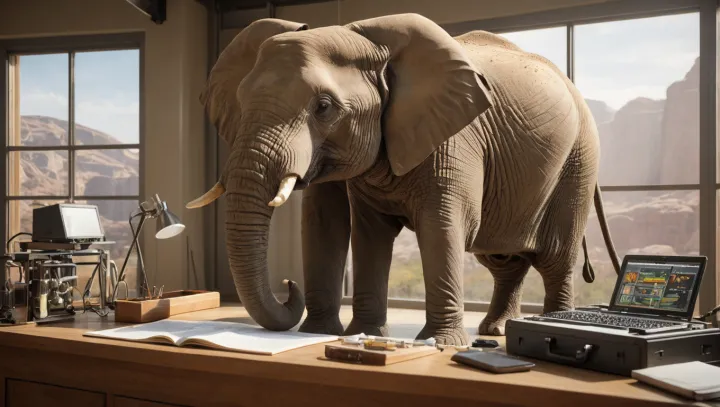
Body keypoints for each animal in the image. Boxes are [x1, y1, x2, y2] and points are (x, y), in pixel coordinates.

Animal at [186, 13, 621, 345]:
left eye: (324, 107)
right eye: (241, 102)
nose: (288, 286)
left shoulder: (454, 140)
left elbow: (440, 225)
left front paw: (439, 344)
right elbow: (344, 227)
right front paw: (334, 335)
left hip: (579, 159)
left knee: (554, 257)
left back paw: (549, 326)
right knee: (502, 257)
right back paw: (494, 331)